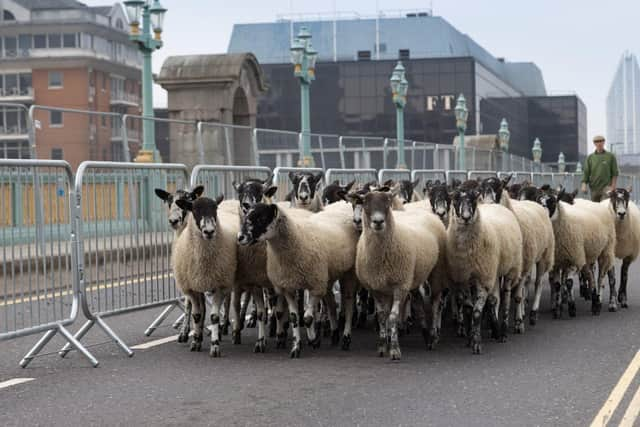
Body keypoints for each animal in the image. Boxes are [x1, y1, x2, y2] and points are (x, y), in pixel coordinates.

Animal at [172, 196, 238, 356]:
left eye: (214, 209)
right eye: (194, 210)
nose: (209, 231)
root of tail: (231, 200)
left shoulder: (220, 285)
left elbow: (214, 316)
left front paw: (215, 346)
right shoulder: (191, 288)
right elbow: (197, 315)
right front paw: (196, 341)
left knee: (227, 303)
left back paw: (224, 328)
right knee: (201, 308)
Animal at [239, 201, 360, 358]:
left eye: (261, 218)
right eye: (246, 215)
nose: (240, 237)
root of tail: (342, 204)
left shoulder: (315, 286)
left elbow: (308, 318)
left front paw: (313, 340)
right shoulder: (288, 287)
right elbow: (294, 318)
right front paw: (296, 347)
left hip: (348, 273)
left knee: (349, 305)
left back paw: (346, 338)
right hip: (327, 277)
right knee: (332, 305)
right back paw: (334, 335)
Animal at [350, 191, 444, 362]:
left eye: (387, 203)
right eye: (365, 203)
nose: (378, 221)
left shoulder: (400, 286)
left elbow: (393, 316)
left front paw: (394, 350)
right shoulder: (376, 288)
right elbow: (382, 316)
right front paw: (382, 346)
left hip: (436, 271)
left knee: (435, 304)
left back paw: (433, 337)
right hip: (413, 277)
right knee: (418, 303)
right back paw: (425, 334)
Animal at [444, 191, 520, 354]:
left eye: (473, 200)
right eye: (455, 200)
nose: (466, 217)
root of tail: (495, 205)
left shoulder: (483, 279)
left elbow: (477, 313)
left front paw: (477, 343)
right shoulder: (463, 279)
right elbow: (468, 310)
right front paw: (469, 339)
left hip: (510, 269)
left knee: (505, 299)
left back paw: (503, 333)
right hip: (494, 272)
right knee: (493, 301)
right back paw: (495, 329)